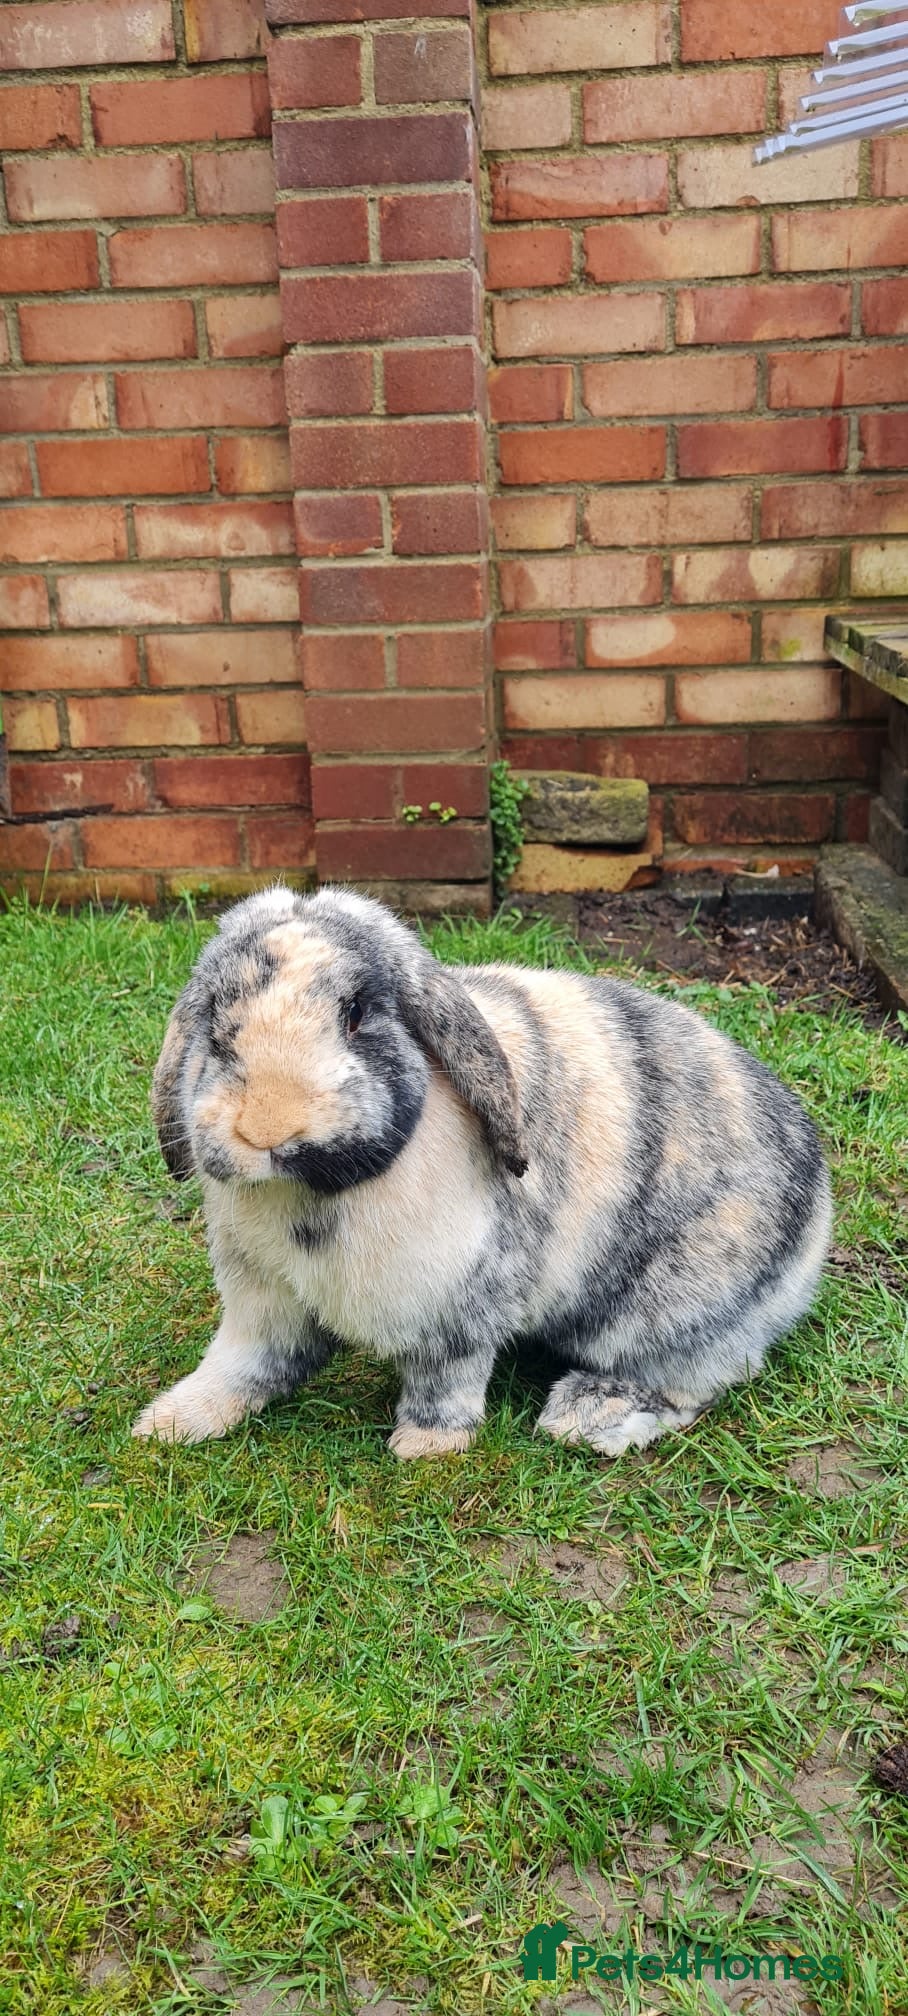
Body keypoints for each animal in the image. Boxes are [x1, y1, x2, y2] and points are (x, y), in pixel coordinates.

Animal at [133, 883, 832, 1460]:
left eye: (357, 1013)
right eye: (215, 1024)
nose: (267, 1130)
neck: (311, 1197)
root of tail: (817, 1213)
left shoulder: (460, 1308)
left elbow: (447, 1380)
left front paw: (424, 1448)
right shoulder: (262, 1303)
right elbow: (246, 1366)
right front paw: (170, 1422)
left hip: (666, 1317)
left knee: (697, 1383)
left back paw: (583, 1416)